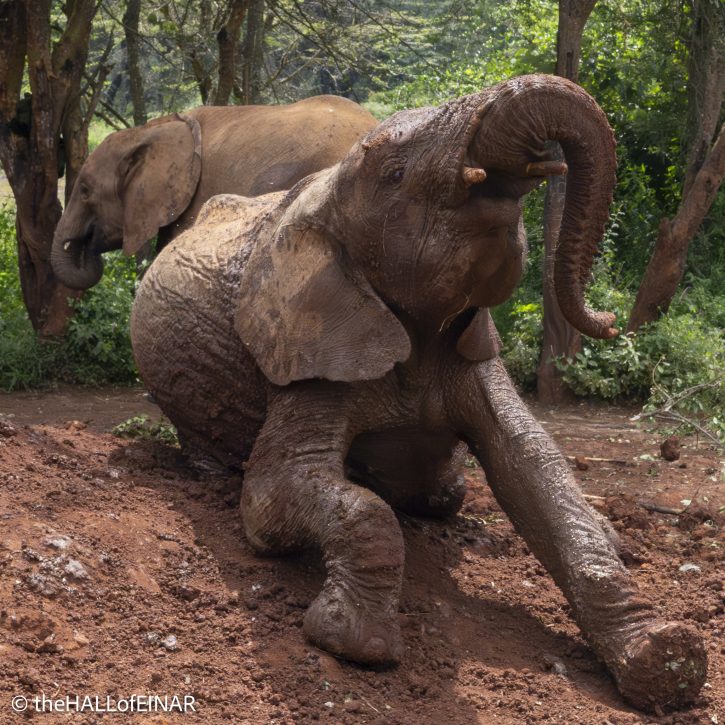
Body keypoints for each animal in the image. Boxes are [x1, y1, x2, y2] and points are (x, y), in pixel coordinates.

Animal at [130, 74, 707, 713]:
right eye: (396, 173)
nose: (610, 322)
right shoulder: (310, 347)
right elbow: (277, 495)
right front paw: (355, 644)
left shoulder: (472, 350)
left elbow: (536, 470)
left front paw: (667, 660)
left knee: (452, 495)